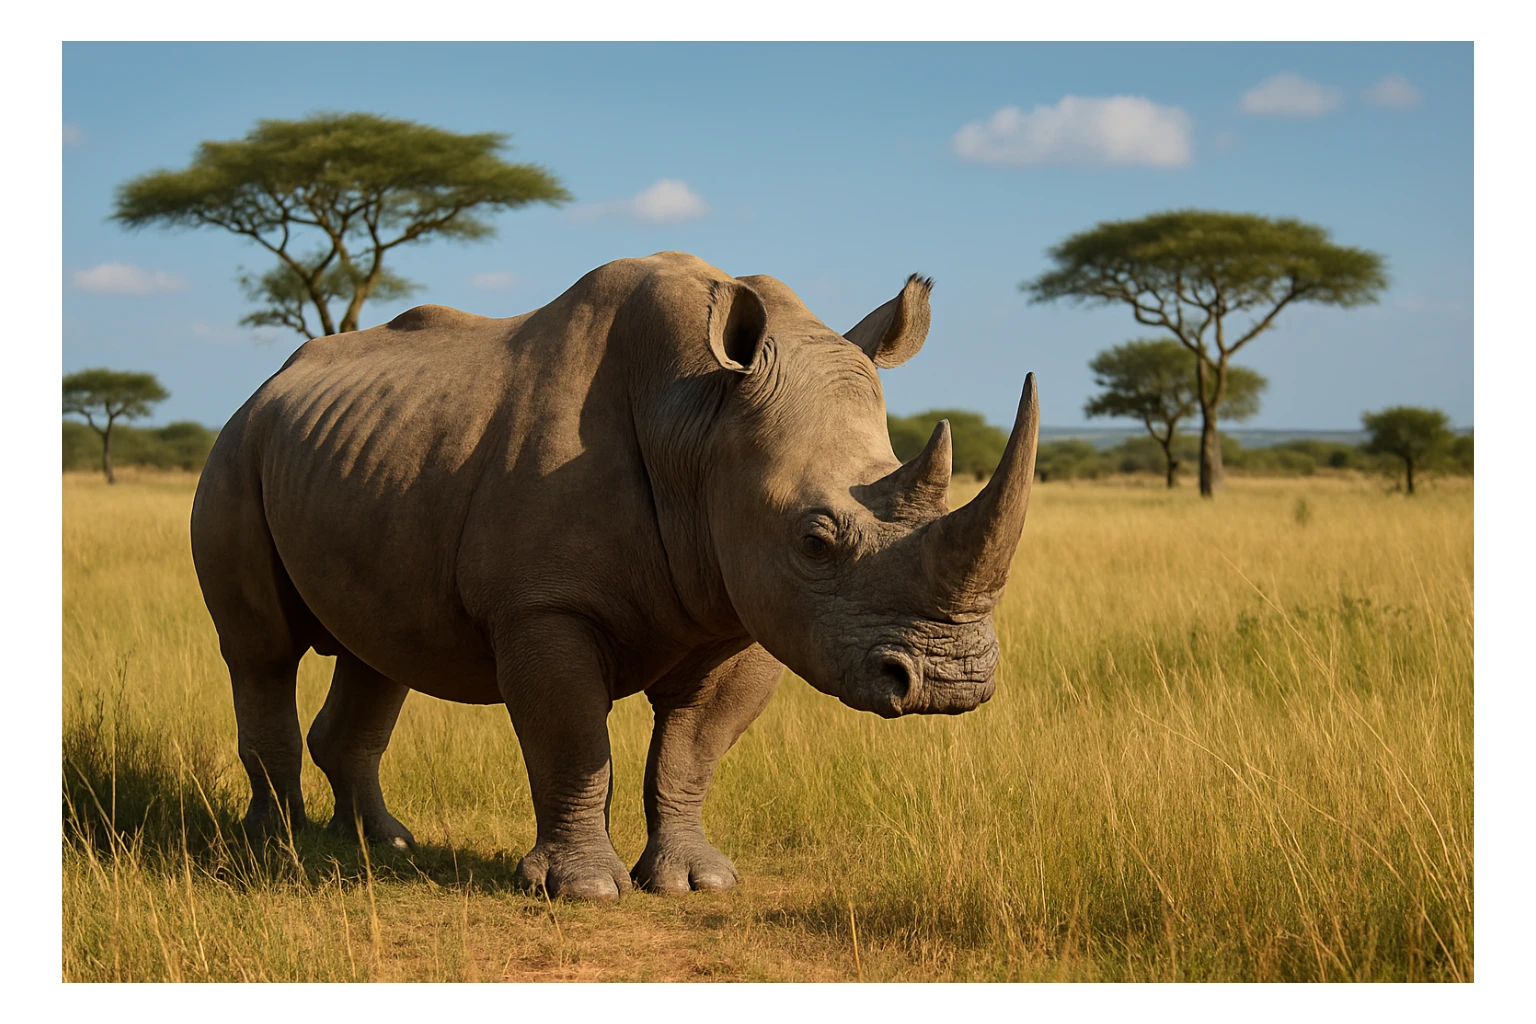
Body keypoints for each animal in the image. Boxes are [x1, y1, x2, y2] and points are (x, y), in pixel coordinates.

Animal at [191, 251, 1039, 900]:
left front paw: (694, 884)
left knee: (377, 653)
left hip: (356, 456)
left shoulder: (748, 611)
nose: (952, 682)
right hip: (235, 451)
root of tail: (266, 388)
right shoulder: (544, 606)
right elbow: (572, 739)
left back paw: (382, 845)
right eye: (815, 540)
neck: (698, 420)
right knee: (261, 651)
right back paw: (278, 850)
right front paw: (583, 891)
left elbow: (692, 749)